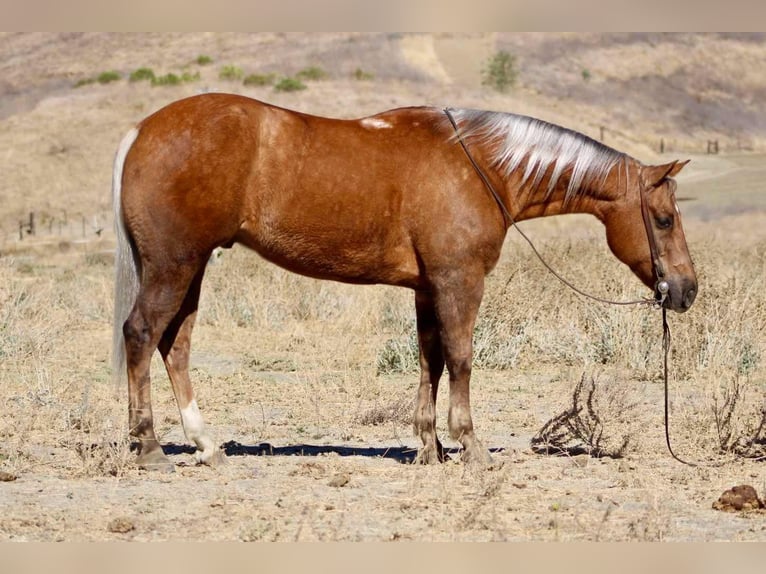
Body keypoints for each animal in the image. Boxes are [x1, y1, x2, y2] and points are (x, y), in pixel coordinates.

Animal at [109, 93, 704, 472]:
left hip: (191, 268)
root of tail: (141, 131)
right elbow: (461, 359)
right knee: (142, 334)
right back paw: (149, 447)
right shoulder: (460, 282)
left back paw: (205, 445)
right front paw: (470, 447)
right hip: (174, 264)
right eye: (664, 219)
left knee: (174, 344)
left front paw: (428, 448)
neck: (482, 166)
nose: (686, 289)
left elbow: (429, 362)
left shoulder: (427, 288)